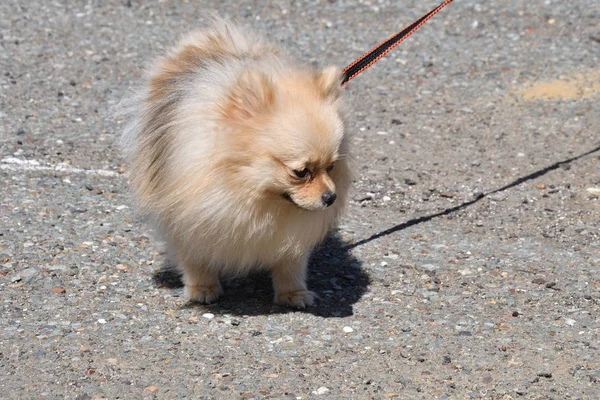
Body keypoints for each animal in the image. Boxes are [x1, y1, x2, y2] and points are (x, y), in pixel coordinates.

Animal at [120, 17, 352, 308]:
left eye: (331, 167)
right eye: (300, 172)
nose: (330, 197)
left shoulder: (290, 230)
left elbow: (291, 262)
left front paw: (293, 293)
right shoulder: (185, 212)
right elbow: (193, 256)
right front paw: (202, 287)